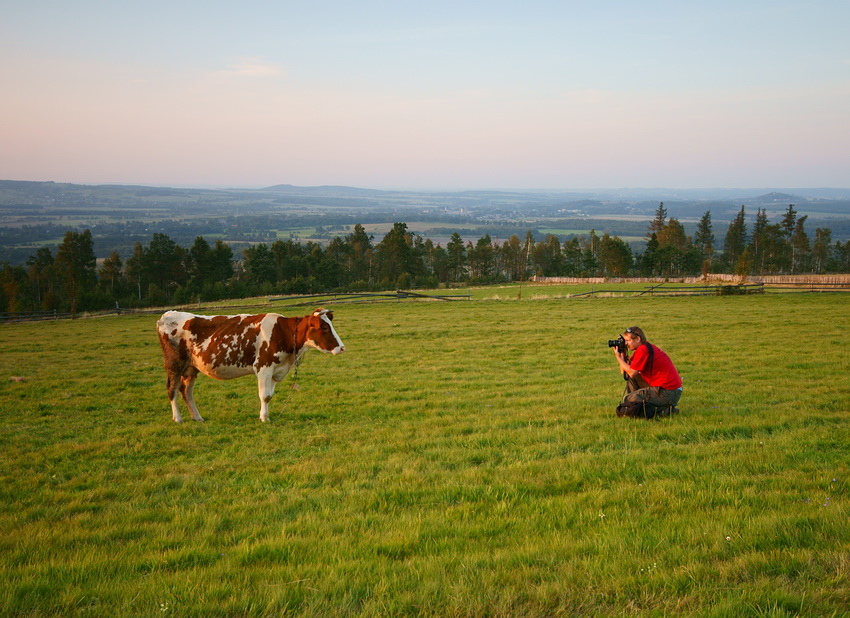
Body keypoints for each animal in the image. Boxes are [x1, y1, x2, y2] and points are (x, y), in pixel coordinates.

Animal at [156, 306, 344, 422]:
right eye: (324, 328)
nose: (342, 347)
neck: (282, 332)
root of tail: (168, 315)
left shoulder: (276, 370)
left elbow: (270, 395)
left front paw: (265, 416)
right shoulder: (263, 367)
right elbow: (264, 395)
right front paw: (264, 418)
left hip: (191, 368)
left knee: (186, 390)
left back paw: (197, 417)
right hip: (174, 364)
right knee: (172, 389)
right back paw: (178, 418)